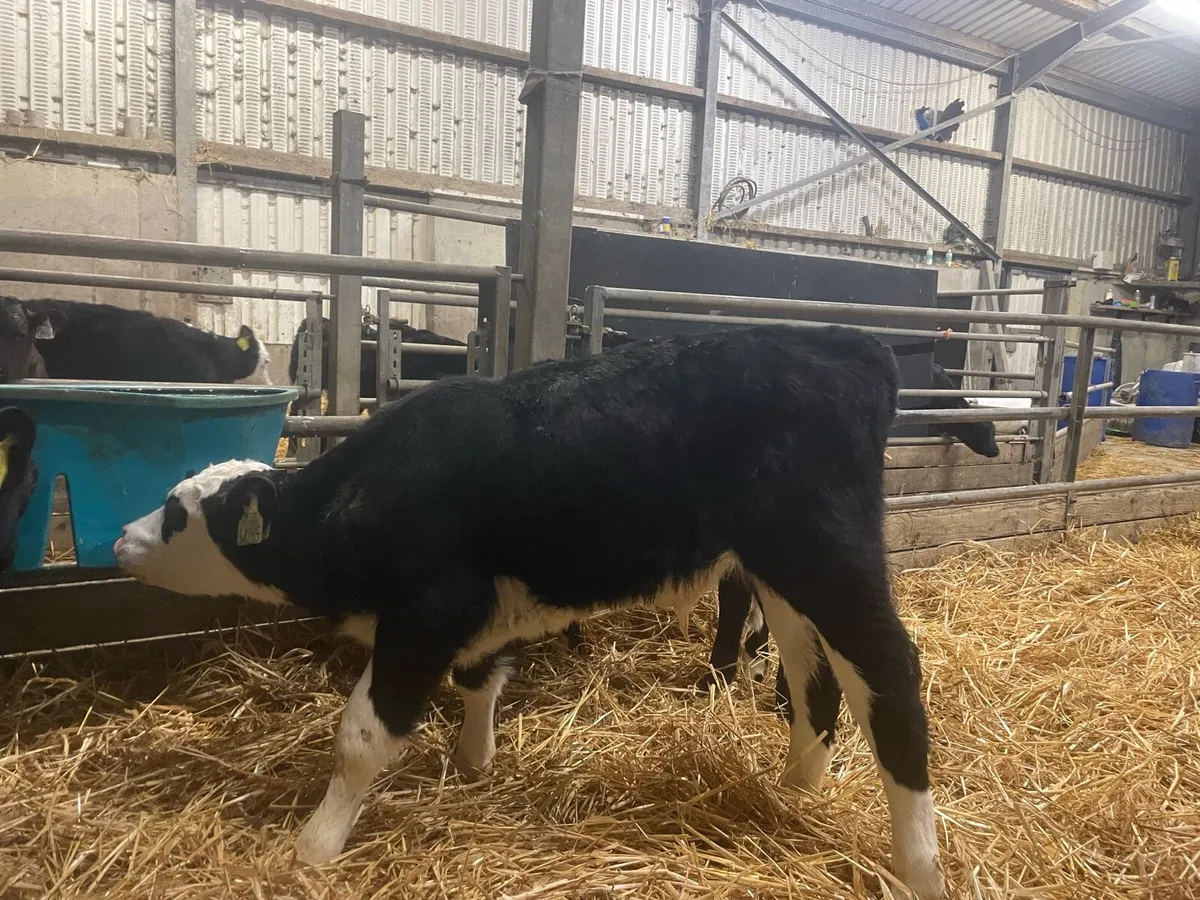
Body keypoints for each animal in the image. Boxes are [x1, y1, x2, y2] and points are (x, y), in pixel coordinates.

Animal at [113, 324, 944, 898]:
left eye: (179, 514)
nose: (122, 538)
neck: (367, 496)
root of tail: (842, 342)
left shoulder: (424, 614)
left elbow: (361, 737)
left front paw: (314, 845)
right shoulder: (475, 610)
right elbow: (480, 678)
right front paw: (474, 761)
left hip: (826, 557)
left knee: (891, 674)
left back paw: (917, 864)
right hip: (782, 576)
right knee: (816, 677)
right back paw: (795, 789)